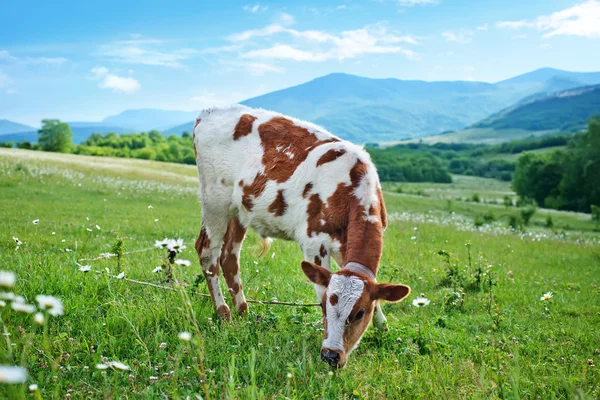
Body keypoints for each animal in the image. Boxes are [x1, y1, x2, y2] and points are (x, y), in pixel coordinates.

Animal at [195, 104, 410, 368]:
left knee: (229, 257)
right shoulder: (314, 242)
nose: (331, 356)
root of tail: (210, 111)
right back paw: (223, 313)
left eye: (360, 313)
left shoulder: (345, 247)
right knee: (208, 252)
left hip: (239, 210)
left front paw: (383, 328)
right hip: (215, 203)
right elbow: (320, 285)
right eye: (324, 306)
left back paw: (243, 310)